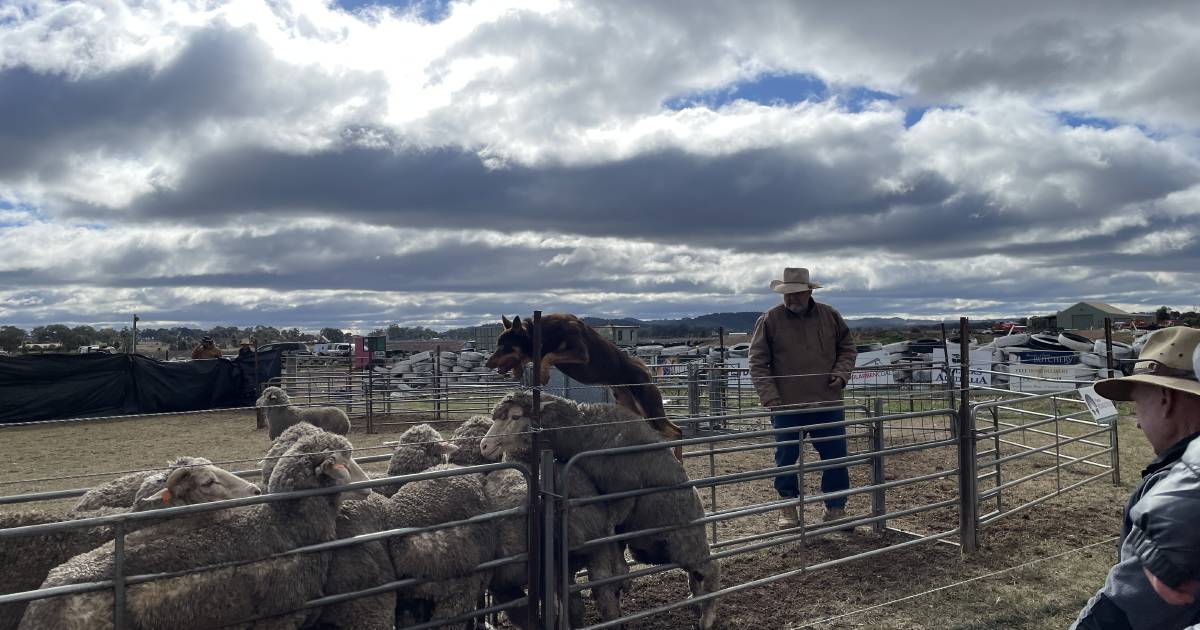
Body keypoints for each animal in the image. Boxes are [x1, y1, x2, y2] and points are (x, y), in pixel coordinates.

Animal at [480, 312, 686, 456]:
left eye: (503, 346)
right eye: (497, 344)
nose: (487, 363)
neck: (541, 333)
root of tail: (646, 372)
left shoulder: (580, 353)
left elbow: (548, 355)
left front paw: (544, 375)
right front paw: (519, 370)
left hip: (651, 409)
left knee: (677, 431)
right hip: (631, 406)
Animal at [480, 391, 720, 624]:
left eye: (515, 416)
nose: (484, 445)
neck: (586, 431)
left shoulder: (625, 490)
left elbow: (611, 526)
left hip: (684, 543)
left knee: (709, 570)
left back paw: (707, 617)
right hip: (654, 548)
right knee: (695, 575)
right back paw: (695, 602)